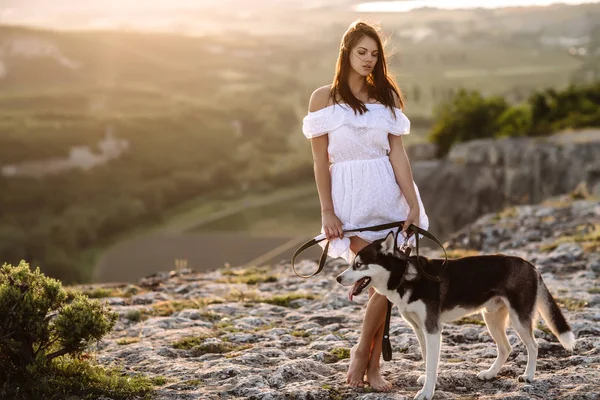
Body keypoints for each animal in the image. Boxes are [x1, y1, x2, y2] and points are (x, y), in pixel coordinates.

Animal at [338, 231, 576, 400]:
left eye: (358, 265)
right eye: (352, 263)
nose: (338, 278)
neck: (404, 275)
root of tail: (531, 266)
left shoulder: (433, 329)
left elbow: (432, 362)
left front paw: (427, 392)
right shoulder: (420, 329)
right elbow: (427, 358)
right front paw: (428, 381)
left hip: (518, 319)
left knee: (533, 346)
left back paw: (529, 376)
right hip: (491, 318)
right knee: (506, 348)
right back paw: (490, 373)